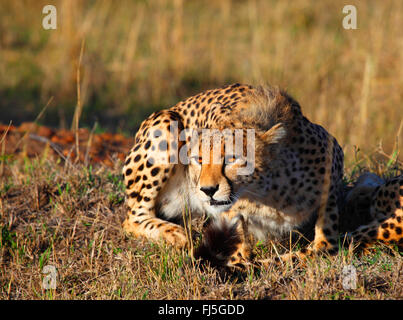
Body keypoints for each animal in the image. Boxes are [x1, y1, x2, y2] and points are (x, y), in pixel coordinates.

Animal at [121, 84, 346, 266]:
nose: (207, 190)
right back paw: (176, 233)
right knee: (132, 218)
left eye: (231, 159)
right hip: (167, 123)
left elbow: (310, 252)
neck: (270, 195)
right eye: (198, 159)